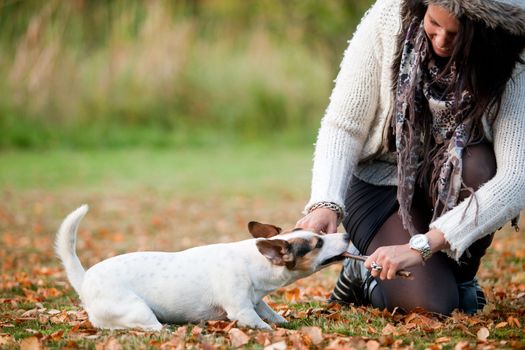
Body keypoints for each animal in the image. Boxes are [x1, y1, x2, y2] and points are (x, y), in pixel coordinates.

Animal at [55, 204, 350, 330]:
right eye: (318, 243)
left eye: (319, 235)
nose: (347, 236)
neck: (253, 261)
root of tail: (85, 280)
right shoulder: (242, 311)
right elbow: (263, 325)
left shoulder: (255, 301)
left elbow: (270, 313)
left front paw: (282, 320)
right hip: (136, 309)